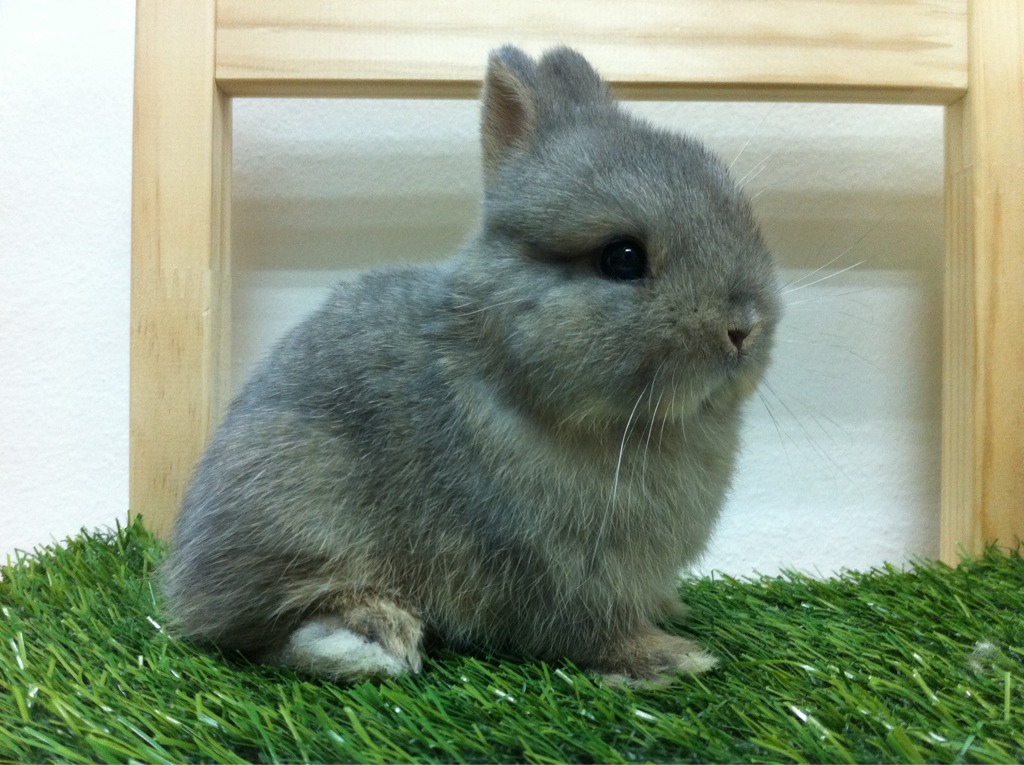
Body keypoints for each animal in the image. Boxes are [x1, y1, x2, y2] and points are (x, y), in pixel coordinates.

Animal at [160, 44, 781, 686]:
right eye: (623, 258)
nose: (743, 328)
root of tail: (187, 584)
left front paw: (673, 616)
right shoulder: (557, 568)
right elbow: (590, 631)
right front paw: (669, 657)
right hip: (295, 504)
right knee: (269, 632)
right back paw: (378, 636)